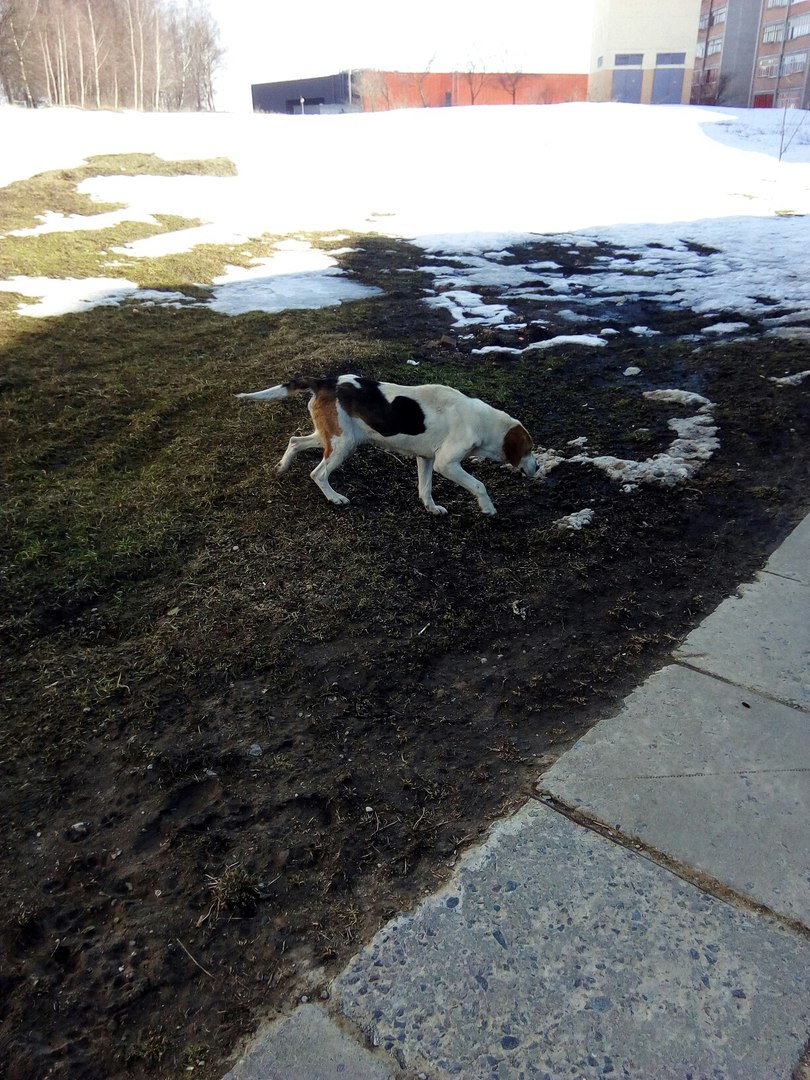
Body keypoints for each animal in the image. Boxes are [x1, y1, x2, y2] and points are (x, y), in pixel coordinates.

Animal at [236, 374, 538, 515]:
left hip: (331, 437)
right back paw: (335, 498)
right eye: (529, 450)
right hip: (344, 444)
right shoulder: (446, 464)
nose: (536, 469)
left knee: (295, 441)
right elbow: (479, 485)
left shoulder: (426, 459)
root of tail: (324, 381)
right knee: (318, 473)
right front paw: (488, 508)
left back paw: (282, 467)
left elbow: (425, 488)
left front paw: (431, 508)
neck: (483, 421)